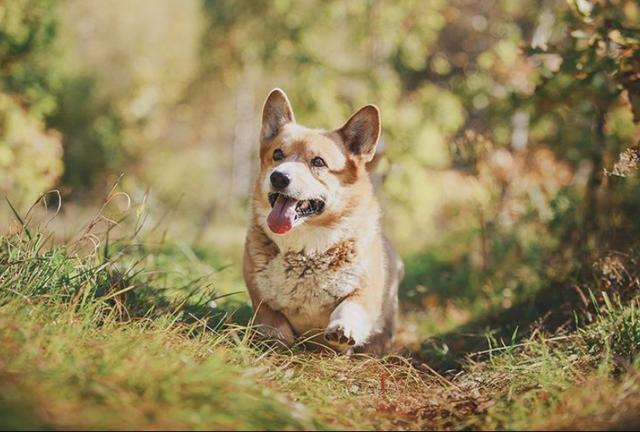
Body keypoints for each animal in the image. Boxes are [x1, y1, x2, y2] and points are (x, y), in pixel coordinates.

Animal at [242, 88, 402, 354]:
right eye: (277, 154)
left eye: (318, 162)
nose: (279, 177)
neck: (306, 249)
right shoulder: (260, 300)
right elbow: (274, 323)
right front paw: (278, 341)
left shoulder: (365, 293)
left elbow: (349, 306)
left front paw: (342, 330)